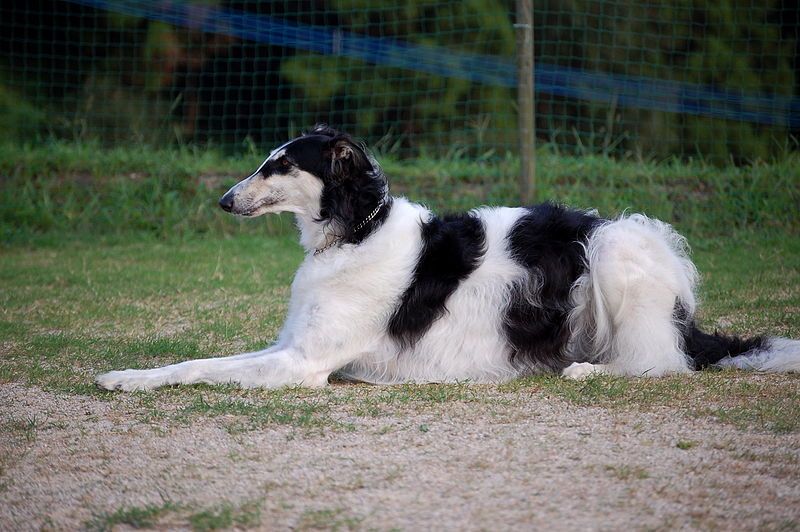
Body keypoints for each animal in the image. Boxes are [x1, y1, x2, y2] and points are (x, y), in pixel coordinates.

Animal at [97, 124, 800, 390]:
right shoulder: (292, 345)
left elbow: (200, 368)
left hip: (617, 247)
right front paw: (127, 375)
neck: (358, 232)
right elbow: (197, 361)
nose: (223, 200)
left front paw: (130, 380)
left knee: (663, 364)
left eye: (282, 164)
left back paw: (588, 370)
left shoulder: (305, 364)